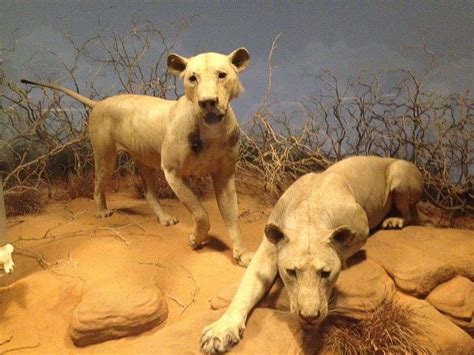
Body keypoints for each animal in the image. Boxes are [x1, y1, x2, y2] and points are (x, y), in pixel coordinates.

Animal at [20, 48, 254, 268]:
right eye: (192, 78)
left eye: (221, 75)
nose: (207, 102)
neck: (211, 131)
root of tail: (98, 103)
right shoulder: (172, 173)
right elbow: (201, 212)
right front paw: (195, 240)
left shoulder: (225, 176)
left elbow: (232, 217)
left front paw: (242, 255)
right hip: (106, 156)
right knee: (97, 185)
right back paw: (102, 212)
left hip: (144, 161)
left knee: (149, 193)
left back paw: (164, 219)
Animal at [200, 156, 430, 354]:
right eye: (291, 272)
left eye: (325, 273)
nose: (309, 317)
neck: (308, 217)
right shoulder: (267, 249)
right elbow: (246, 289)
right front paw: (220, 332)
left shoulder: (361, 225)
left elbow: (345, 248)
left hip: (400, 175)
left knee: (412, 215)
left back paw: (394, 220)